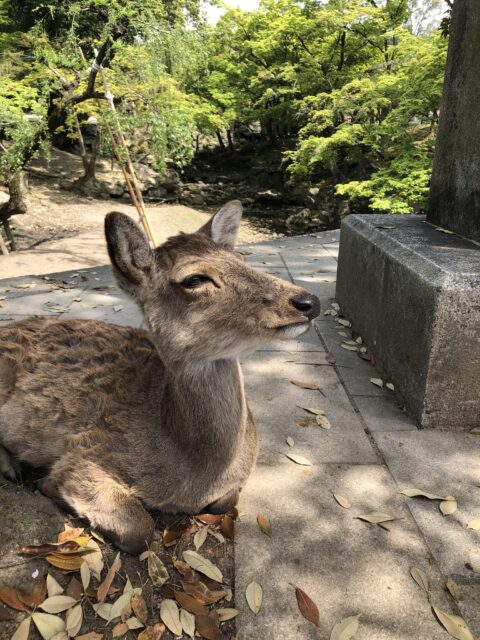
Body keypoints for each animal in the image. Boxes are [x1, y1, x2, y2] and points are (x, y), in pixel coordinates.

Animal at [0, 202, 322, 552]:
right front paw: (47, 484)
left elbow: (226, 501)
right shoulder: (84, 456)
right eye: (195, 278)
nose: (308, 301)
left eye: (241, 258)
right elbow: (140, 530)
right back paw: (12, 468)